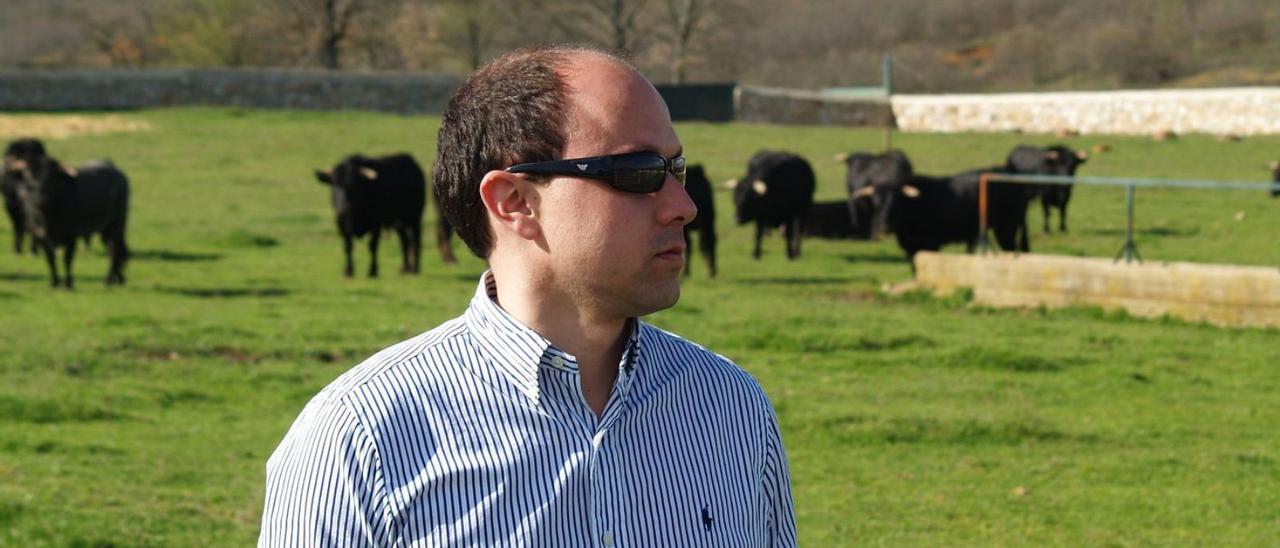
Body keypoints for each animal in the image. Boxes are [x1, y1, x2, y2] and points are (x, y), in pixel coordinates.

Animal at [9, 154, 129, 286]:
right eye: (28, 176)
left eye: (50, 177)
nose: (40, 198)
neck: (47, 217)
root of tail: (120, 175)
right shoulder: (41, 236)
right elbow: (50, 259)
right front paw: (54, 281)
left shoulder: (72, 236)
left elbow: (67, 259)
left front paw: (67, 283)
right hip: (106, 229)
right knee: (115, 249)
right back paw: (118, 279)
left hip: (116, 225)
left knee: (114, 250)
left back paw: (109, 279)